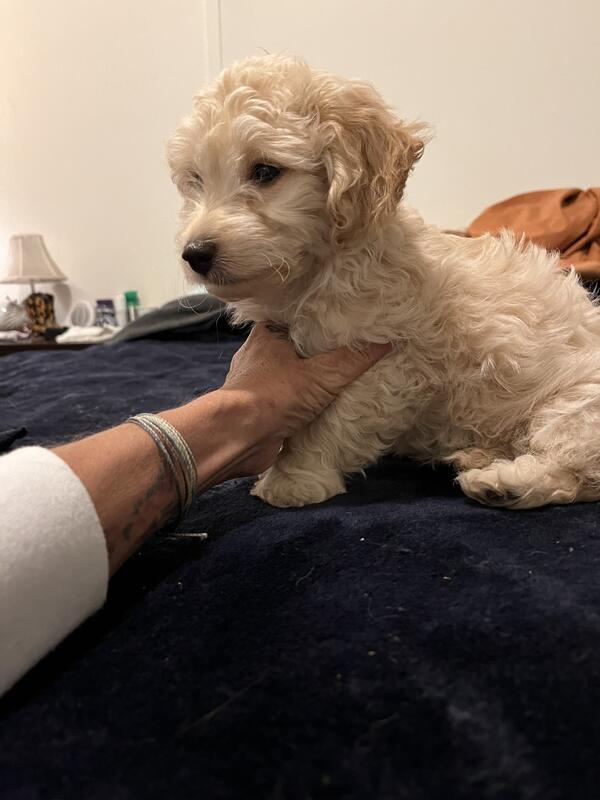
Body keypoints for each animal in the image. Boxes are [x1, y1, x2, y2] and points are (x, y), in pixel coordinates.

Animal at [168, 54, 600, 510]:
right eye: (195, 179)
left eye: (266, 171)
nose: (195, 253)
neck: (317, 272)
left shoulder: (385, 363)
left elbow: (331, 424)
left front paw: (293, 477)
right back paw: (477, 455)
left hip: (575, 407)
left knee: (573, 471)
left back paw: (502, 482)